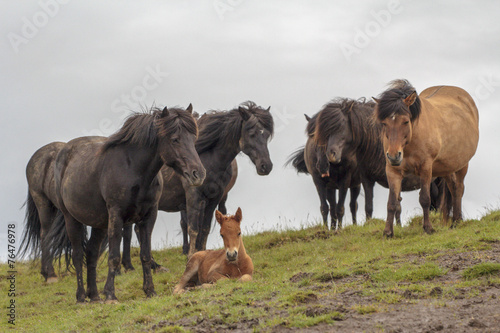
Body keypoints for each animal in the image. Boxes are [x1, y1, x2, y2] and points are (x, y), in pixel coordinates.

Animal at [47, 104, 204, 300]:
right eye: (175, 139)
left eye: (193, 138)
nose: (198, 174)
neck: (133, 169)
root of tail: (63, 153)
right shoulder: (116, 215)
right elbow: (114, 256)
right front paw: (110, 295)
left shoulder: (149, 216)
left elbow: (145, 254)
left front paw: (150, 290)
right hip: (71, 218)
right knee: (77, 255)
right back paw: (82, 297)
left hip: (99, 223)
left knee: (91, 253)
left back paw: (95, 296)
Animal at [121, 101, 276, 264]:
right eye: (252, 134)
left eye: (266, 135)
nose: (266, 166)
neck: (209, 159)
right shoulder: (193, 197)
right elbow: (193, 229)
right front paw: (190, 256)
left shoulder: (214, 199)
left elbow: (205, 229)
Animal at [374, 79, 478, 236]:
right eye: (384, 123)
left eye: (405, 121)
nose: (393, 156)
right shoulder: (393, 171)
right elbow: (392, 202)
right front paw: (388, 232)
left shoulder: (426, 168)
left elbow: (425, 199)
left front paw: (428, 228)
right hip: (446, 168)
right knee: (453, 188)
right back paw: (454, 220)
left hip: (462, 164)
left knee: (459, 188)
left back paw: (456, 221)